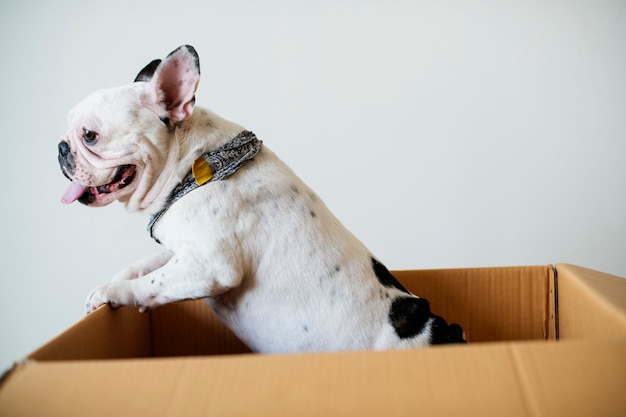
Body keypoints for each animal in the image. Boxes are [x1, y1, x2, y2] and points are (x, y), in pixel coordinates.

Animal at [57, 45, 464, 352]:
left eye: (89, 135)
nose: (61, 147)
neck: (199, 165)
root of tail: (446, 335)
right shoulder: (183, 249)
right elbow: (147, 265)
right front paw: (112, 281)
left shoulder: (209, 265)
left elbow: (151, 283)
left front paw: (113, 292)